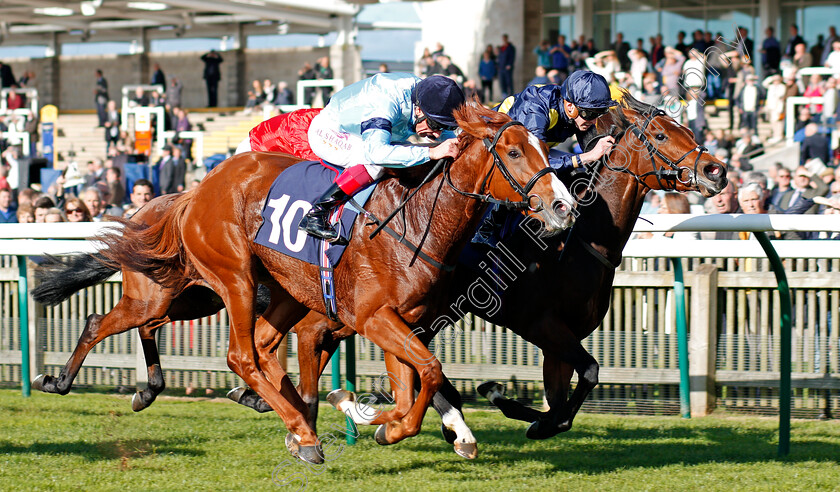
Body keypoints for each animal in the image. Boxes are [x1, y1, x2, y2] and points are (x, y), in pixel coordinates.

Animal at [50, 102, 572, 464]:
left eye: (548, 150)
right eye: (512, 151)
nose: (562, 207)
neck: (414, 219)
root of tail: (194, 190)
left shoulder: (401, 321)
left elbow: (415, 386)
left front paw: (377, 421)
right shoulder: (368, 318)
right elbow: (426, 371)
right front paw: (354, 412)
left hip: (229, 294)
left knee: (212, 337)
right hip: (231, 280)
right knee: (236, 354)